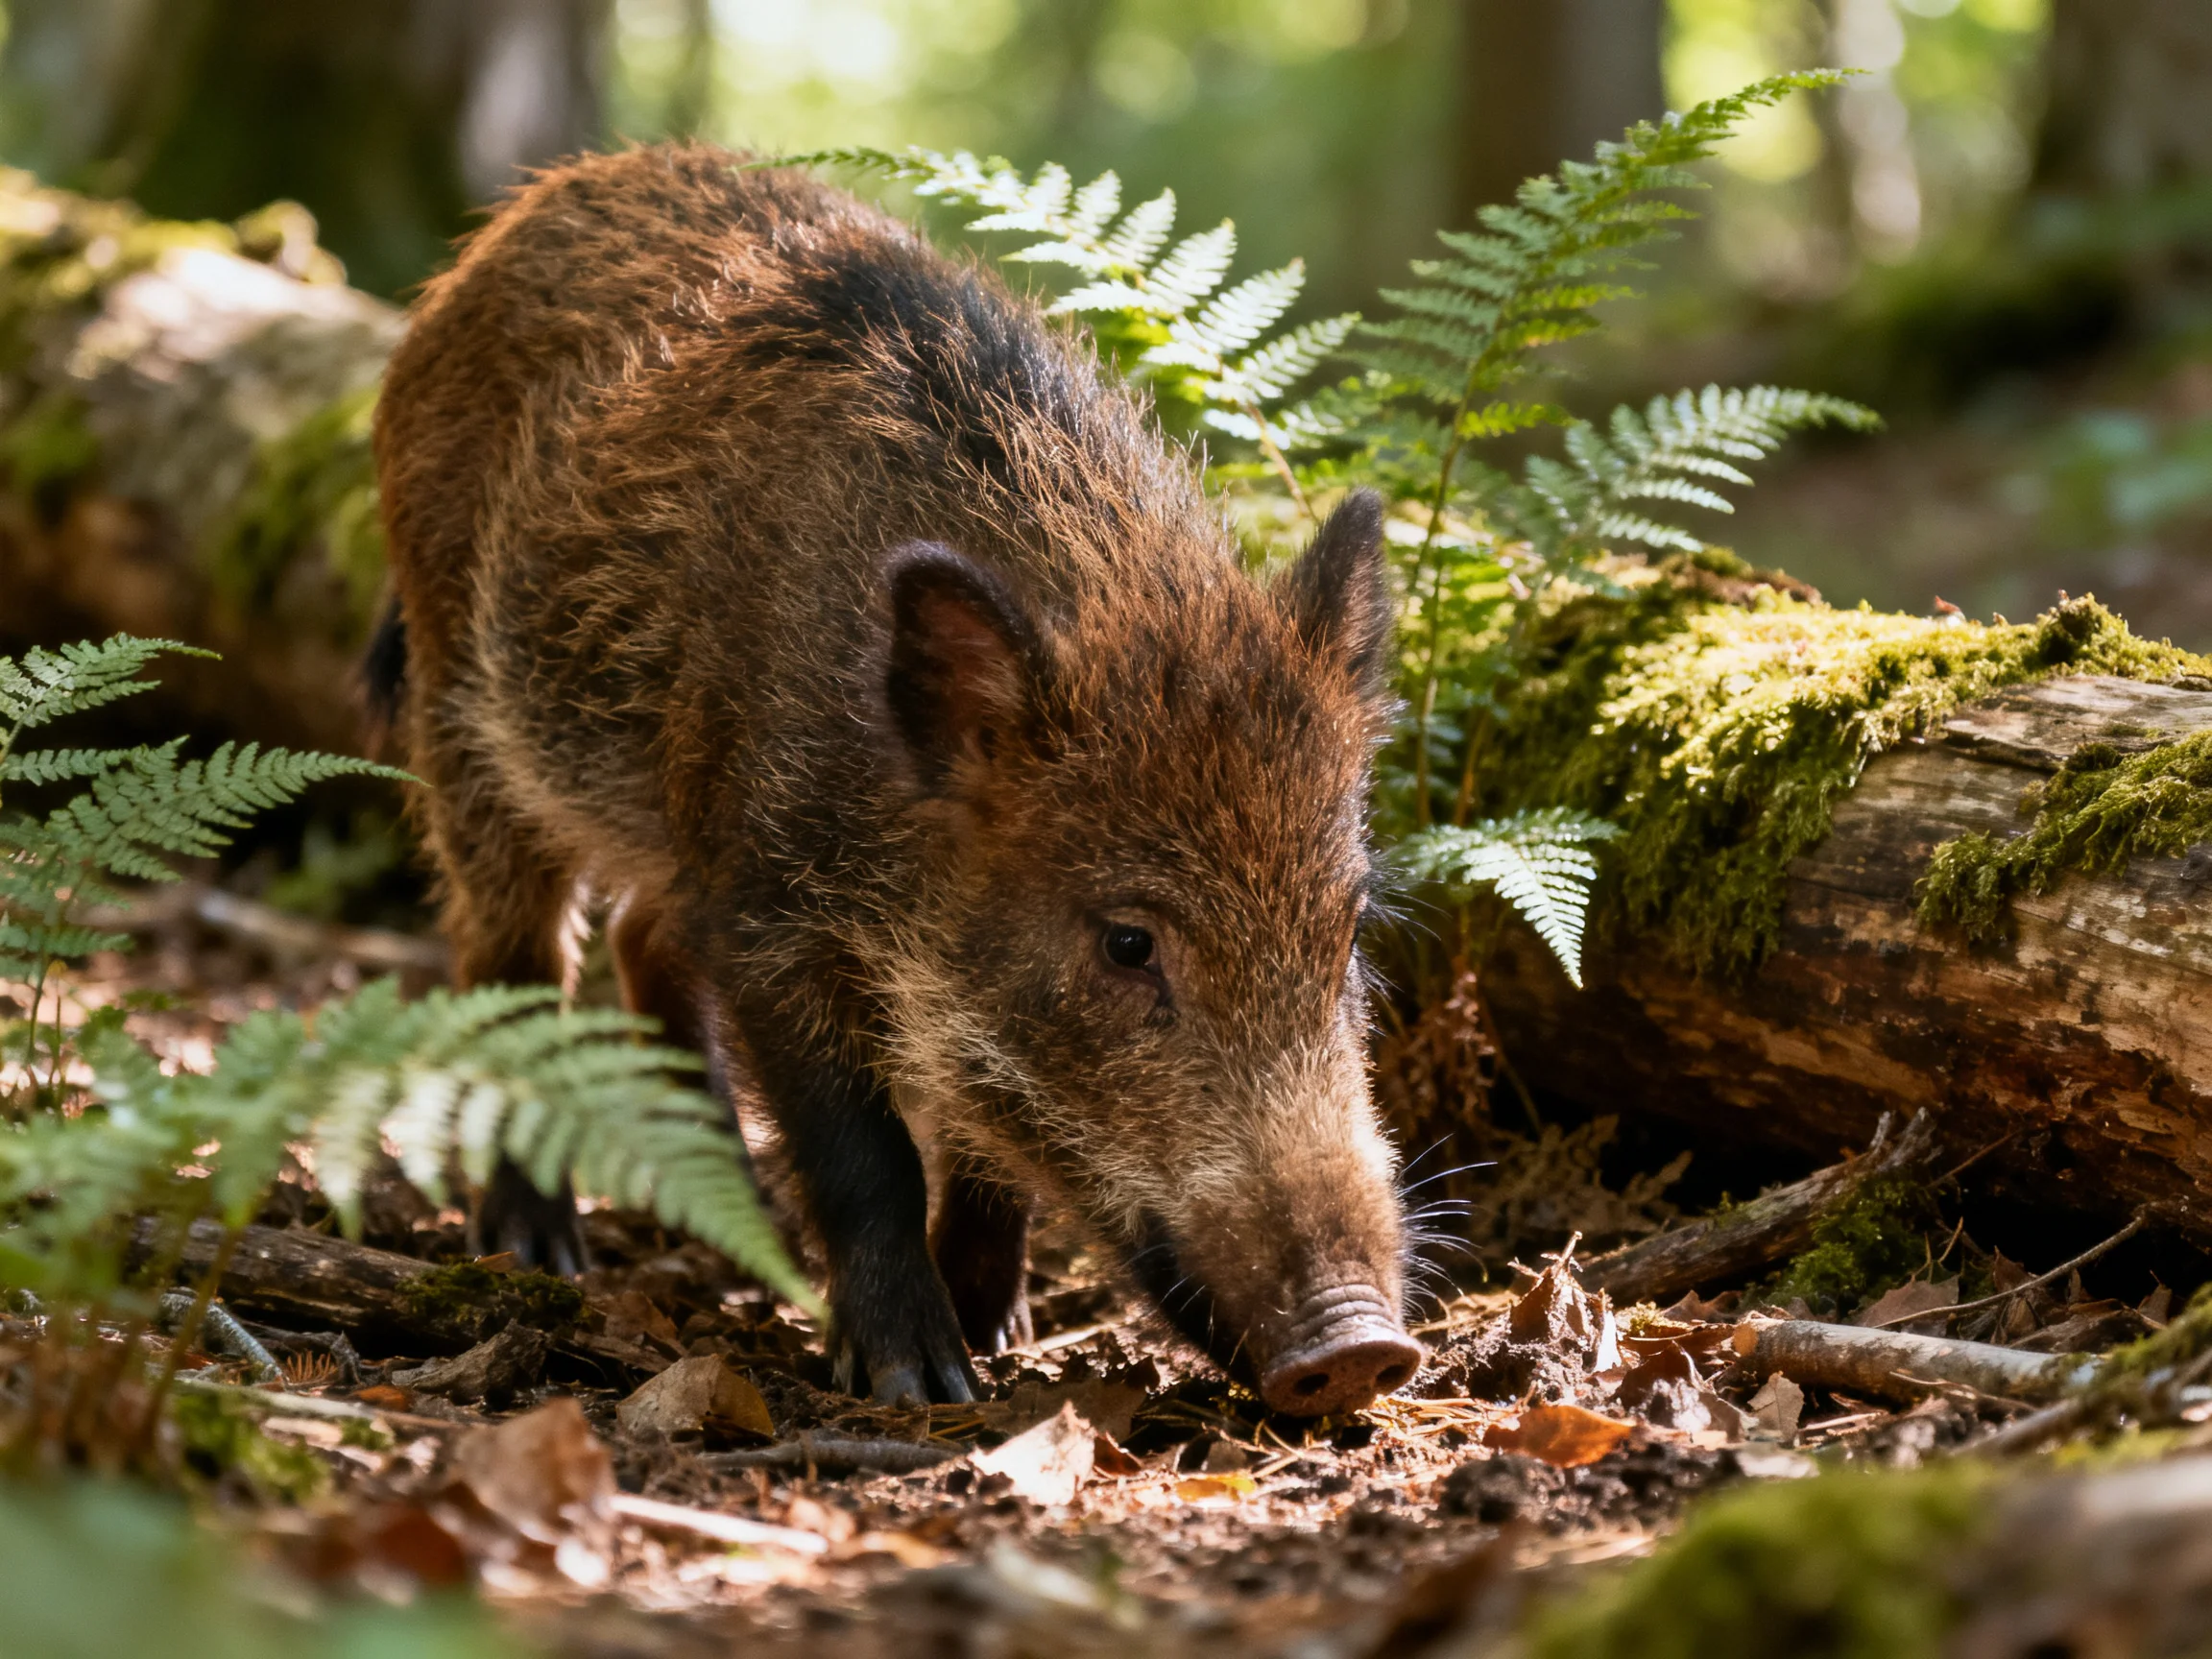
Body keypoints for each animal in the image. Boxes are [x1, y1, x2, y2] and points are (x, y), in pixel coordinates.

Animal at [368, 142, 1422, 1415]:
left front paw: (1000, 1333)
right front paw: (920, 1382)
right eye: (1128, 941)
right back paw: (537, 1248)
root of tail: (506, 228)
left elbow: (987, 1148)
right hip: (462, 708)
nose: (1361, 1348)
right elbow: (867, 1153)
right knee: (513, 953)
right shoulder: (771, 911)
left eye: (1351, 927)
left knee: (640, 941)